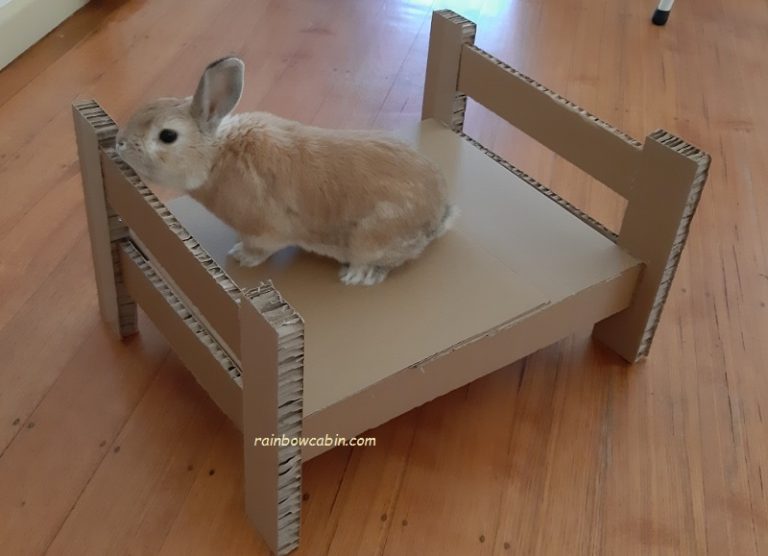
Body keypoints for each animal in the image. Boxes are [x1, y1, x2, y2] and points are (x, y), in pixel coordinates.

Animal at [115, 57, 456, 286]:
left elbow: (261, 248)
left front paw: (240, 256)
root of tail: (439, 213)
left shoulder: (265, 231)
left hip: (372, 236)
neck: (215, 157)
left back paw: (356, 276)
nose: (119, 143)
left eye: (167, 136)